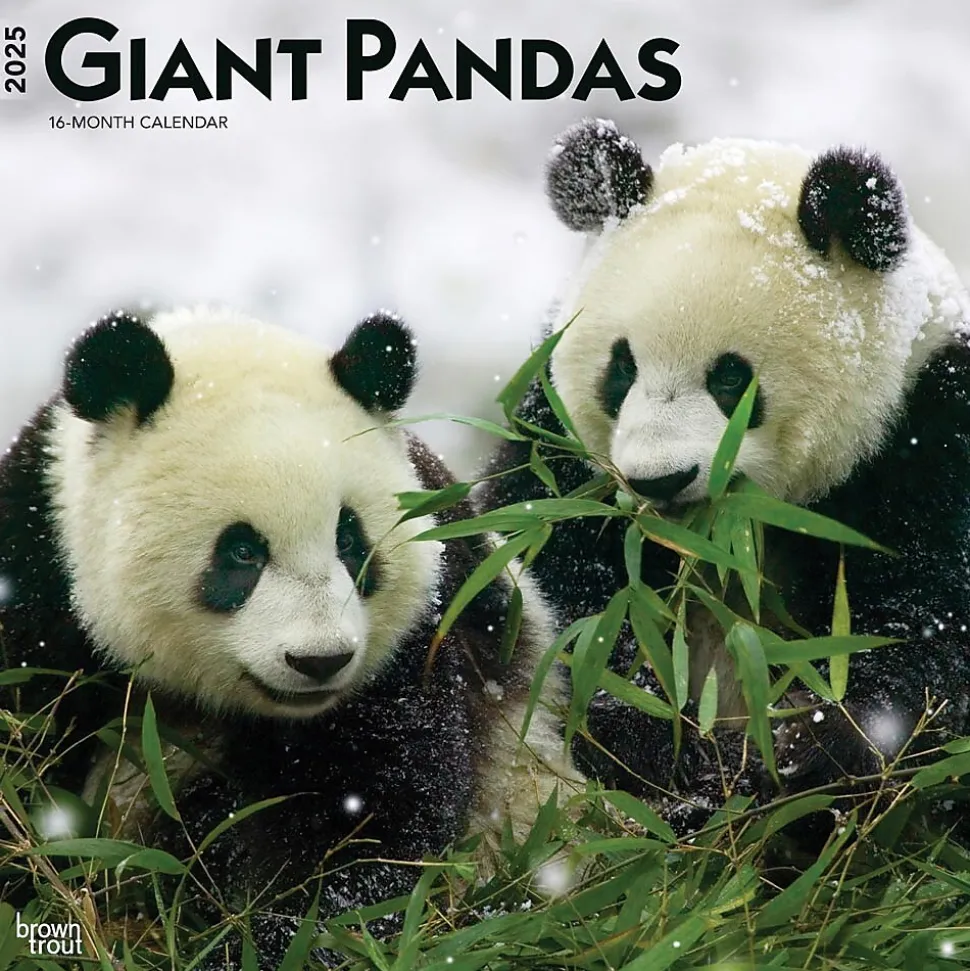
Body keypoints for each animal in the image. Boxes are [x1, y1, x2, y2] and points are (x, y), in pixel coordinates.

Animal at [0, 306, 580, 966]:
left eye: (350, 540)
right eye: (242, 552)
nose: (320, 661)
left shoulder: (419, 635)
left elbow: (366, 819)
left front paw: (267, 941)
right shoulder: (39, 572)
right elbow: (26, 752)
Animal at [480, 118, 970, 824]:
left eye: (731, 378)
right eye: (621, 368)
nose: (657, 480)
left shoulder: (929, 427)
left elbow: (926, 627)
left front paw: (811, 748)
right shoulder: (560, 451)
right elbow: (560, 599)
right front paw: (675, 754)